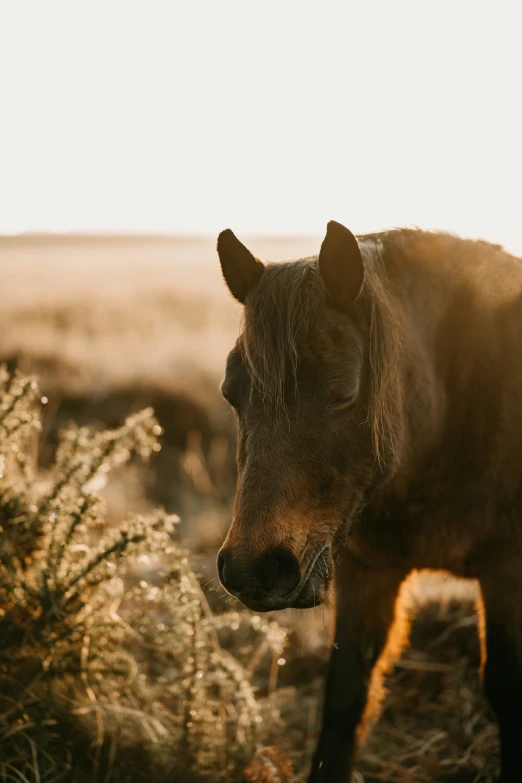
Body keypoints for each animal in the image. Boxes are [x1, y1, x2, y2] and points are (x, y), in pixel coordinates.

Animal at [214, 222, 520, 783]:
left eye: (343, 393)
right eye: (231, 393)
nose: (254, 569)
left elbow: (508, 688)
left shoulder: (507, 569)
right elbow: (345, 693)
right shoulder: (368, 572)